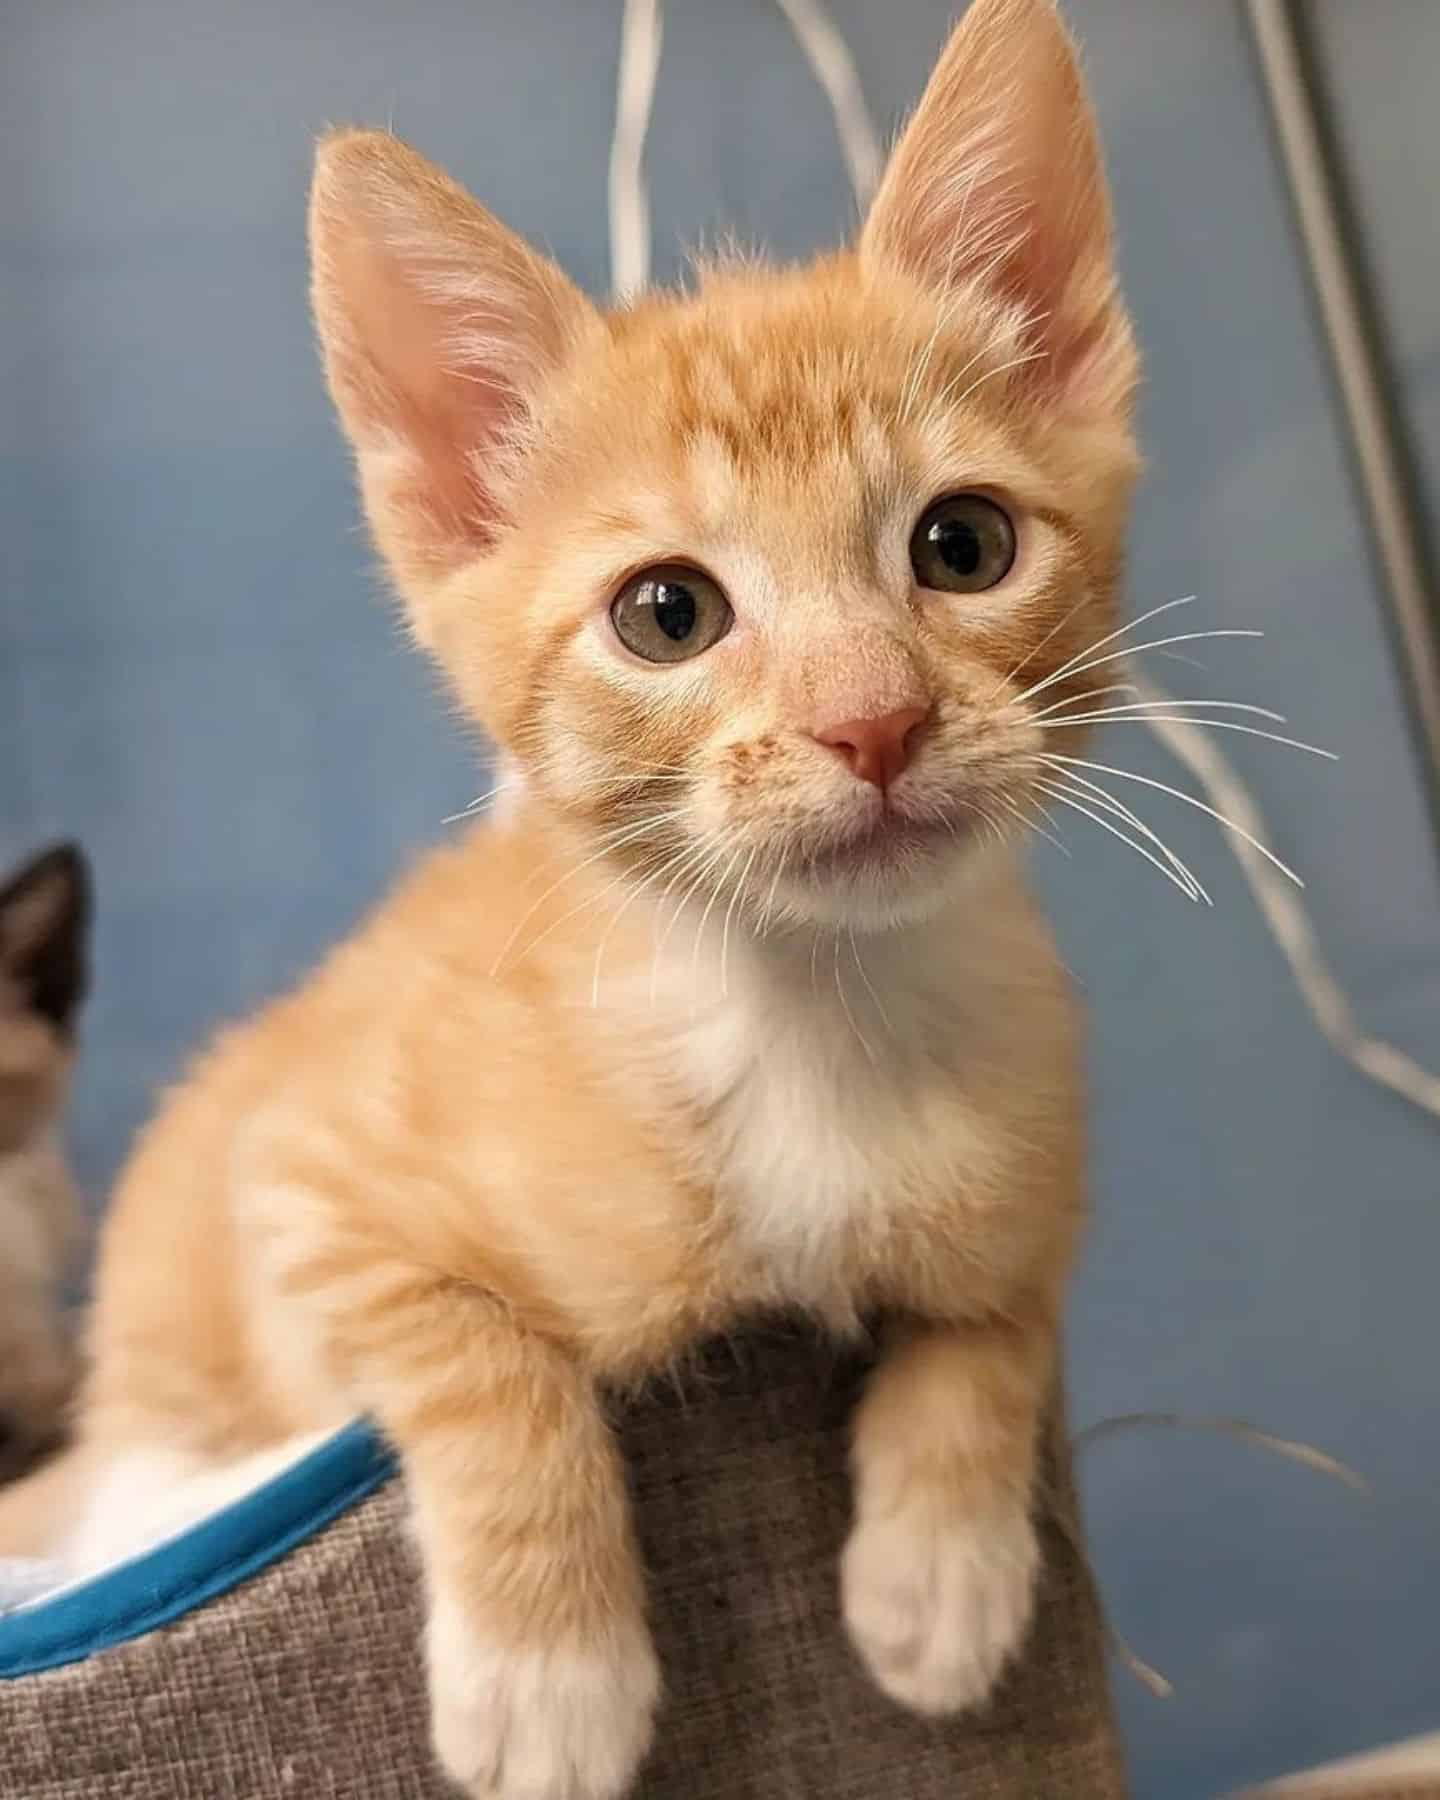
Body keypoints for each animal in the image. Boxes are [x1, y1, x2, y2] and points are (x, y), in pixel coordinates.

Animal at [0, 7, 1137, 1792]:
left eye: (964, 544)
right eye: (668, 614)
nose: (874, 721)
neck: (816, 1022)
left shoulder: (1044, 1154)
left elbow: (996, 1312)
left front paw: (943, 1575)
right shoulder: (304, 1179)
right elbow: (483, 1355)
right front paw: (551, 1676)